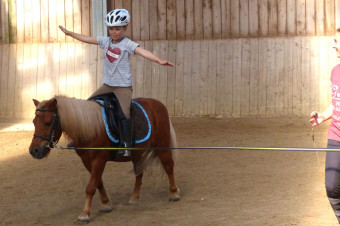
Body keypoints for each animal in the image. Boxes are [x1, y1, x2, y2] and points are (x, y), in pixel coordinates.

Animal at [28, 96, 181, 222]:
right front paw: (106, 204)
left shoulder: (99, 159)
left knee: (168, 166)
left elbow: (90, 186)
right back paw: (134, 198)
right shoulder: (87, 161)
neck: (90, 127)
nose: (34, 151)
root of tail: (158, 103)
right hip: (137, 153)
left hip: (162, 146)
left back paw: (174, 194)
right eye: (34, 122)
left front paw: (85, 213)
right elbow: (98, 182)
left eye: (48, 123)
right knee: (139, 173)